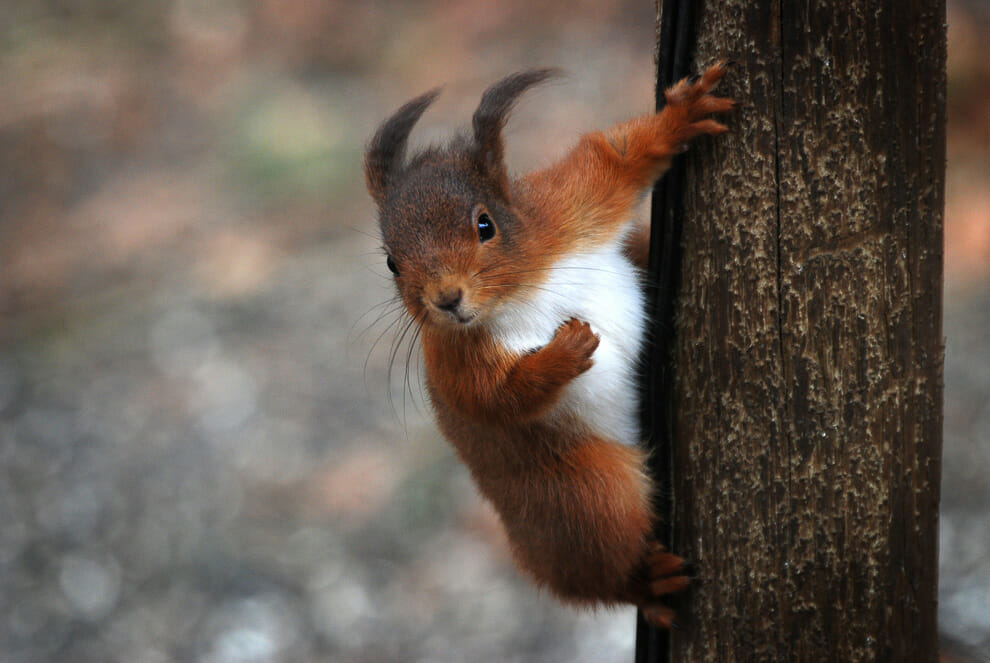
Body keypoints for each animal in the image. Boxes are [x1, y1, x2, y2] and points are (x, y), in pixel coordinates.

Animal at [368, 65, 732, 632]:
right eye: (391, 263)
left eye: (485, 224)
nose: (446, 300)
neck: (521, 290)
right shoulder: (454, 362)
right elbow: (498, 398)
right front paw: (565, 351)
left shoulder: (568, 208)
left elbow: (613, 158)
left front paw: (682, 115)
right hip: (584, 495)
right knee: (604, 567)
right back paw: (646, 582)